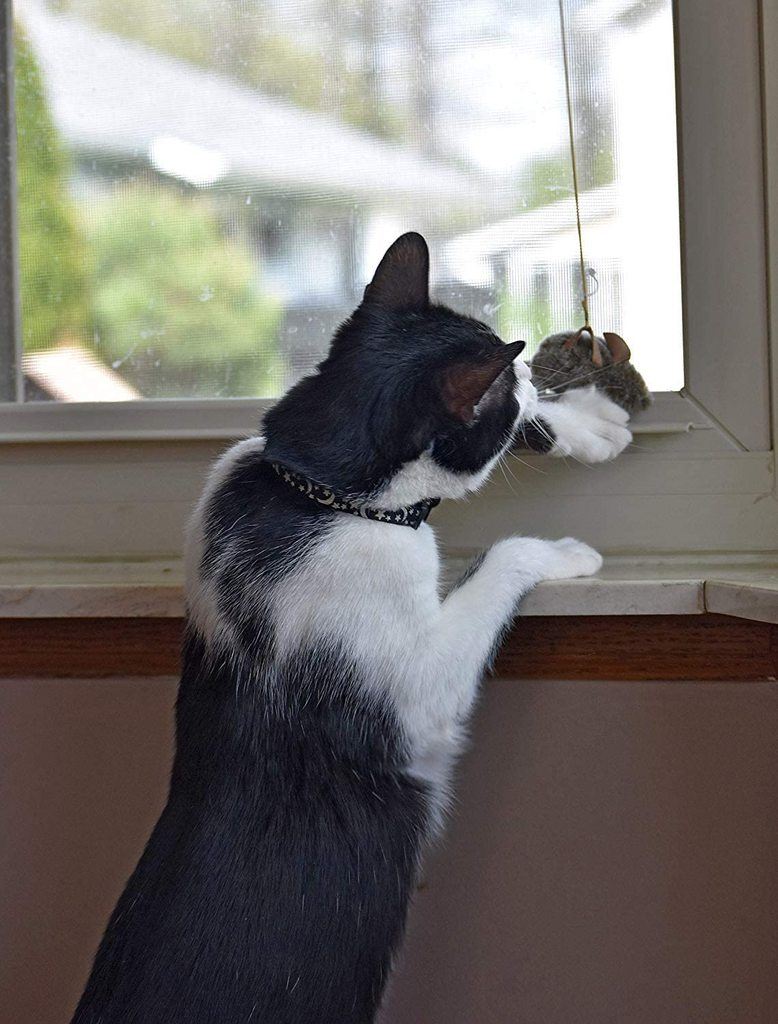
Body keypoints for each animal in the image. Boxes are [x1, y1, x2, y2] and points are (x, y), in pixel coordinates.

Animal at [70, 232, 630, 1024]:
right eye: (504, 381)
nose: (522, 369)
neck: (313, 491)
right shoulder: (416, 696)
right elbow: (499, 553)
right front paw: (566, 551)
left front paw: (587, 421)